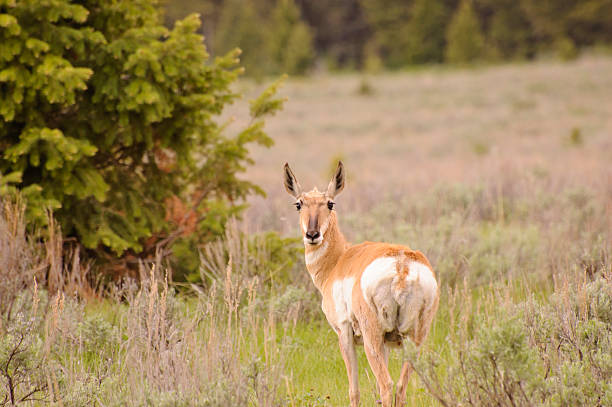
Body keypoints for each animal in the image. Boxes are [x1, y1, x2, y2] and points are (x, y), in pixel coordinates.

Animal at [284, 163, 438, 407]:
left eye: (330, 203)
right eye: (299, 204)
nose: (312, 234)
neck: (339, 260)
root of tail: (402, 264)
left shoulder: (344, 334)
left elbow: (354, 390)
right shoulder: (386, 344)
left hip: (371, 340)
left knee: (387, 385)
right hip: (415, 339)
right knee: (400, 388)